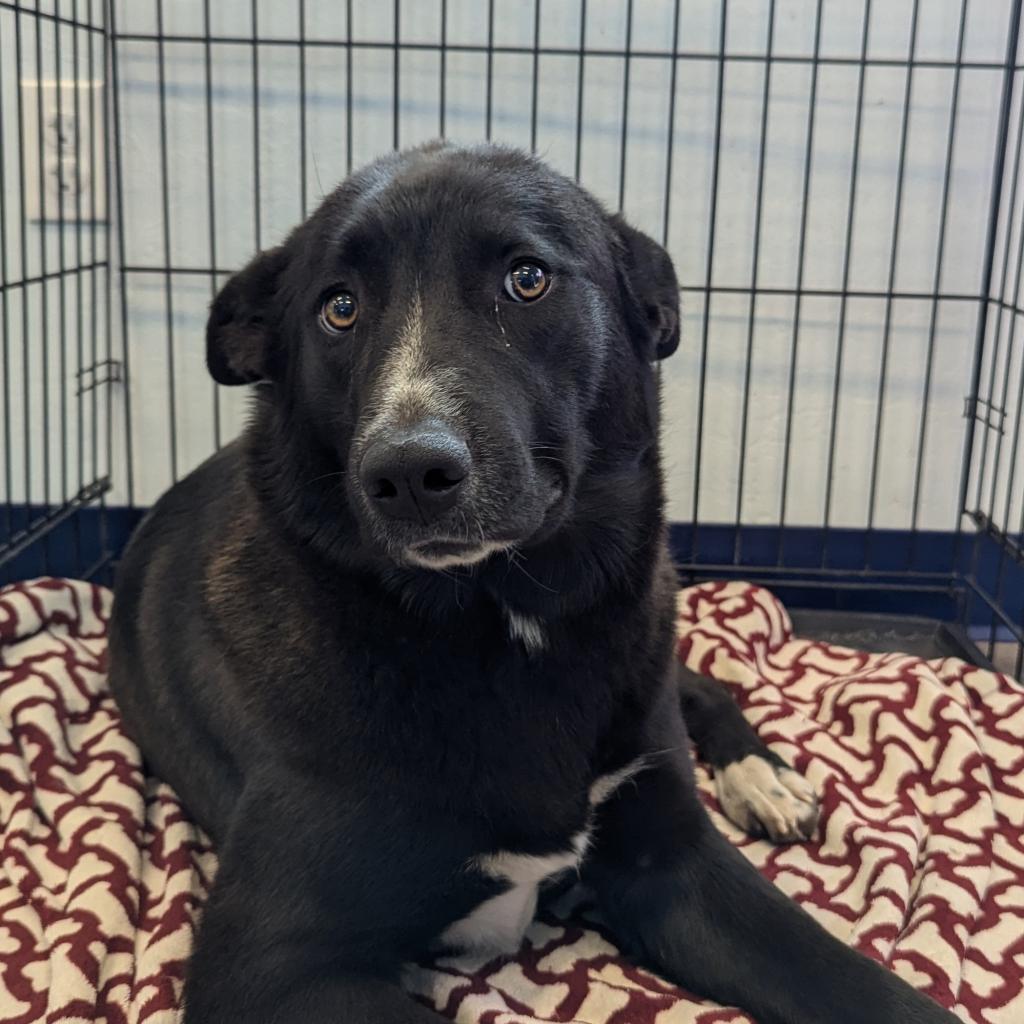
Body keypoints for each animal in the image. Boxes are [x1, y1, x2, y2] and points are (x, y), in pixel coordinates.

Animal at [112, 144, 958, 1024]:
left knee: (693, 681)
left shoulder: (673, 864)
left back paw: (763, 775)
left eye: (526, 279)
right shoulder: (271, 967)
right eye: (339, 307)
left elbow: (870, 988)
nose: (408, 473)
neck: (507, 621)